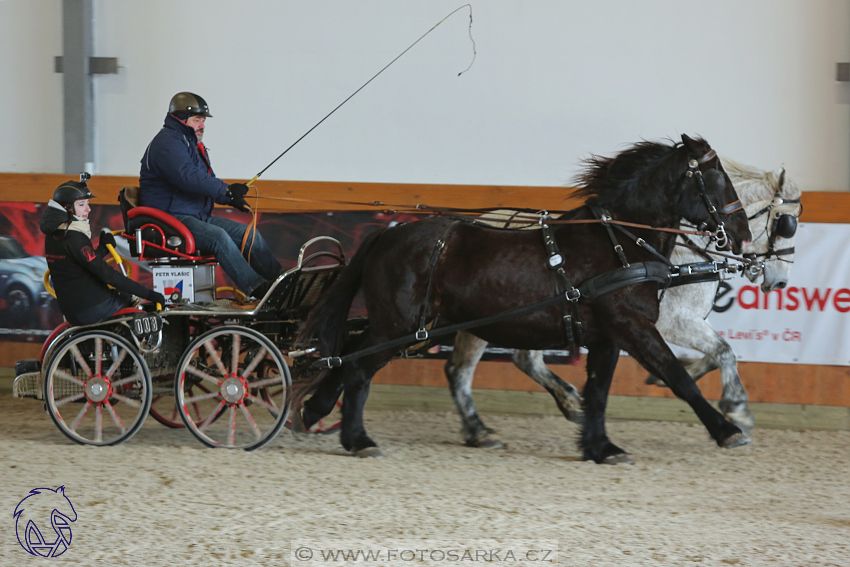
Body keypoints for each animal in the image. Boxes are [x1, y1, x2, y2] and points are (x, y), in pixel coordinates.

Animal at [296, 135, 748, 464]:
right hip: (402, 326)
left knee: (350, 356)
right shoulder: (634, 328)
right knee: (358, 368)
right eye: (716, 177)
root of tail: (388, 234)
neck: (618, 242)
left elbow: (599, 392)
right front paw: (729, 430)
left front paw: (599, 447)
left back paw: (317, 410)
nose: (741, 233)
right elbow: (678, 377)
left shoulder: (608, 337)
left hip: (410, 324)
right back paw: (358, 439)